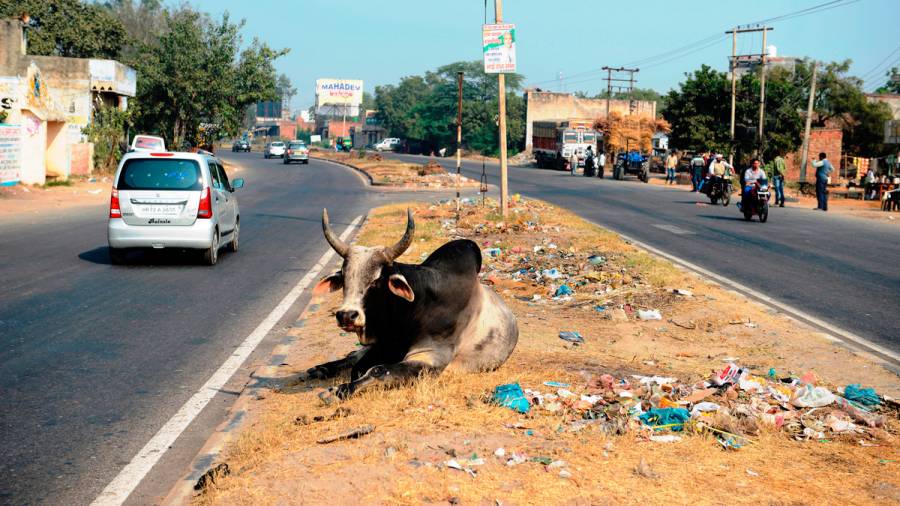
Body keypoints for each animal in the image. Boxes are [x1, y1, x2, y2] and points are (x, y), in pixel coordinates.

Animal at [302, 207, 516, 400]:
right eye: (344, 277)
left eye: (376, 281)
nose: (346, 315)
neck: (412, 310)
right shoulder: (381, 345)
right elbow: (358, 366)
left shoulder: (429, 357)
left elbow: (377, 370)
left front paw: (338, 391)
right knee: (353, 356)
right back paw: (321, 368)